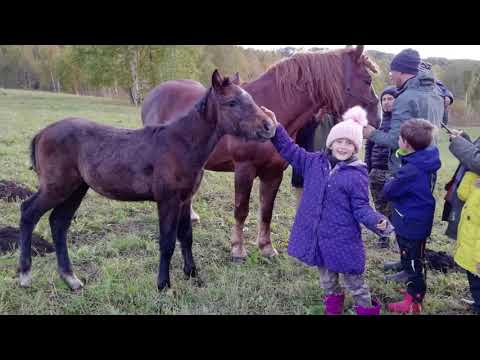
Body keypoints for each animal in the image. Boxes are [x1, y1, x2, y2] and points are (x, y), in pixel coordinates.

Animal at [18, 69, 276, 290]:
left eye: (251, 98)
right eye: (232, 102)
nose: (269, 127)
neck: (181, 143)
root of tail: (42, 133)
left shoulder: (184, 199)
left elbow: (186, 237)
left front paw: (192, 274)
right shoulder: (167, 200)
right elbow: (167, 242)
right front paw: (163, 284)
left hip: (76, 189)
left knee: (58, 222)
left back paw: (71, 279)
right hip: (57, 187)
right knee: (28, 212)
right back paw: (24, 275)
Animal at [141, 45, 380, 262]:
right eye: (367, 80)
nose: (377, 119)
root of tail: (153, 94)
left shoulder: (274, 173)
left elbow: (266, 211)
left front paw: (266, 248)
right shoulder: (244, 169)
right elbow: (241, 210)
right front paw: (238, 249)